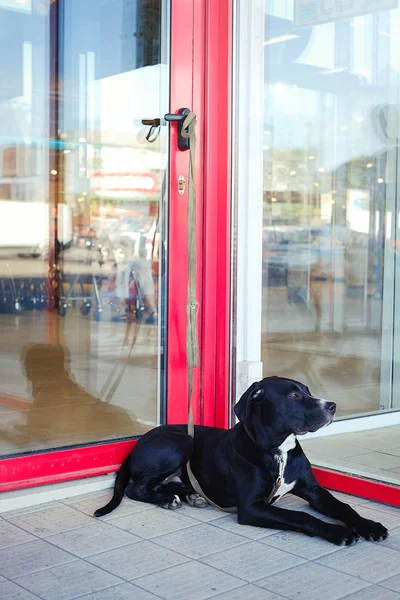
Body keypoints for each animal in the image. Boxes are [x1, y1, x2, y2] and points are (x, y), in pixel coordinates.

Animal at [94, 378, 388, 548]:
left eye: (308, 391)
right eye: (294, 396)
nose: (332, 406)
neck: (278, 451)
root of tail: (138, 441)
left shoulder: (313, 490)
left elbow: (344, 506)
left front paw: (369, 526)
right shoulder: (251, 507)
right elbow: (301, 516)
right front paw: (337, 531)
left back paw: (189, 496)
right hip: (182, 441)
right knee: (136, 488)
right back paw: (168, 499)